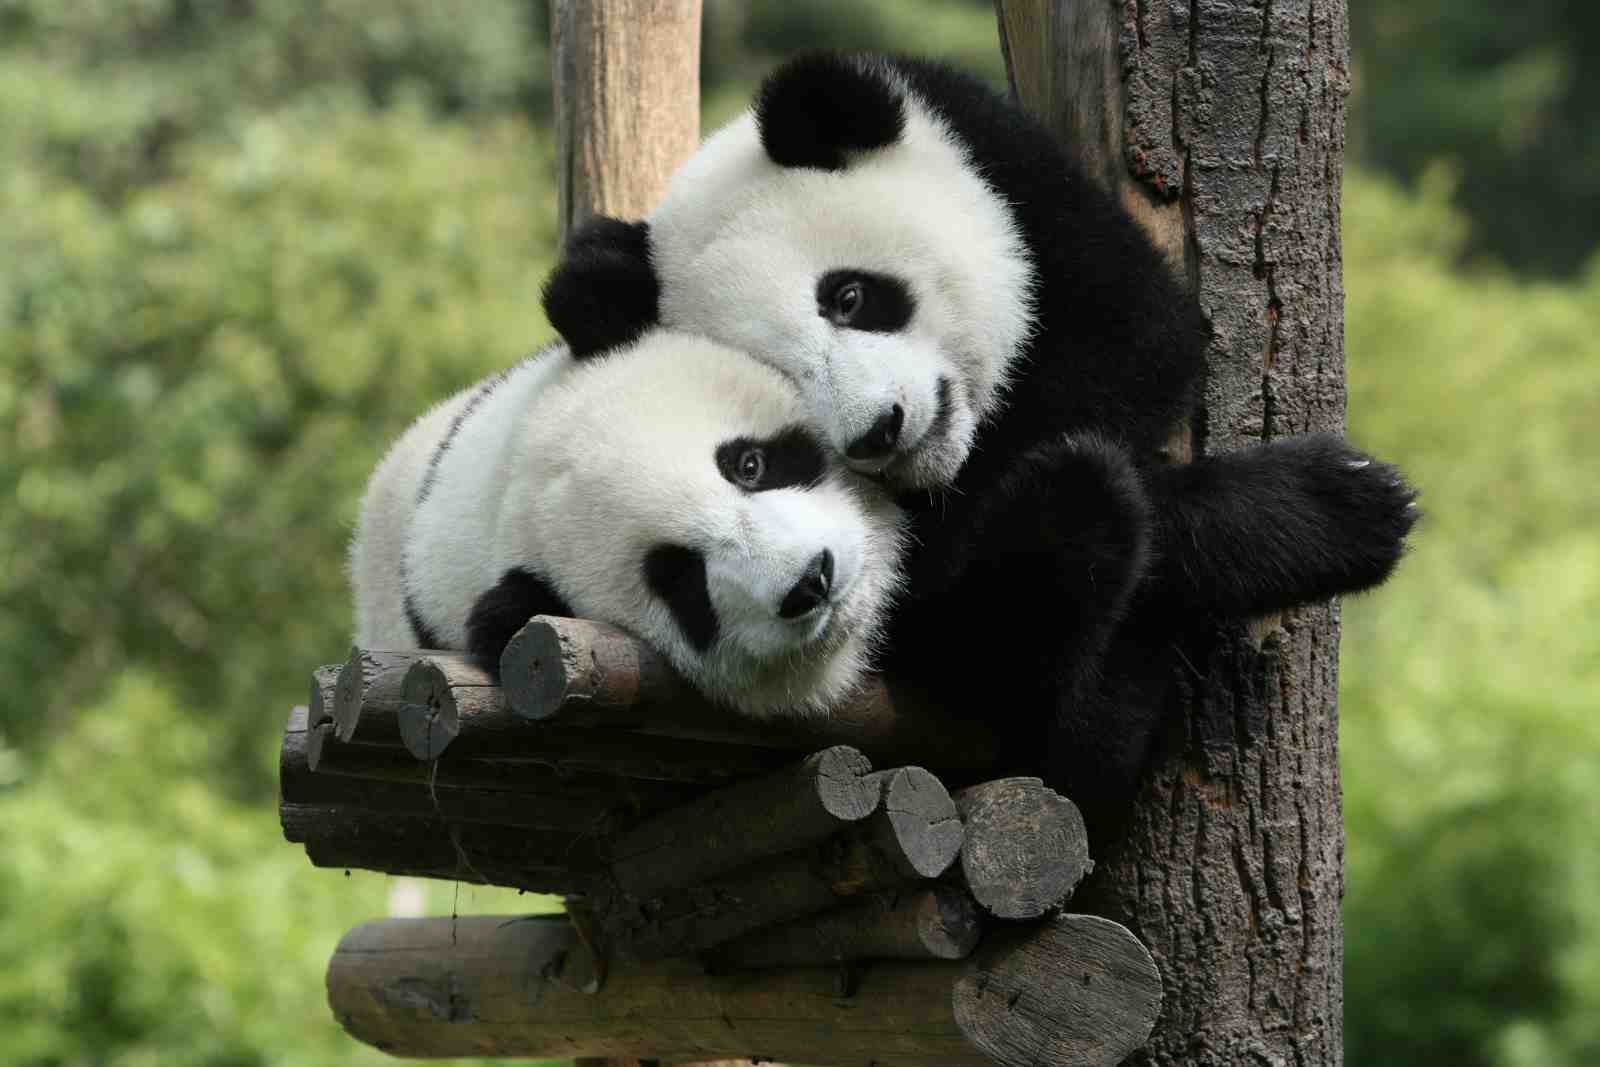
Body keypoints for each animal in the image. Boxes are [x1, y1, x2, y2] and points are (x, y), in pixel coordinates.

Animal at [541, 51, 1418, 849]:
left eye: (849, 296)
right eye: (781, 378)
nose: (880, 429)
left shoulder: (1012, 175)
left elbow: (1140, 341)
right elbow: (946, 588)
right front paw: (1339, 509)